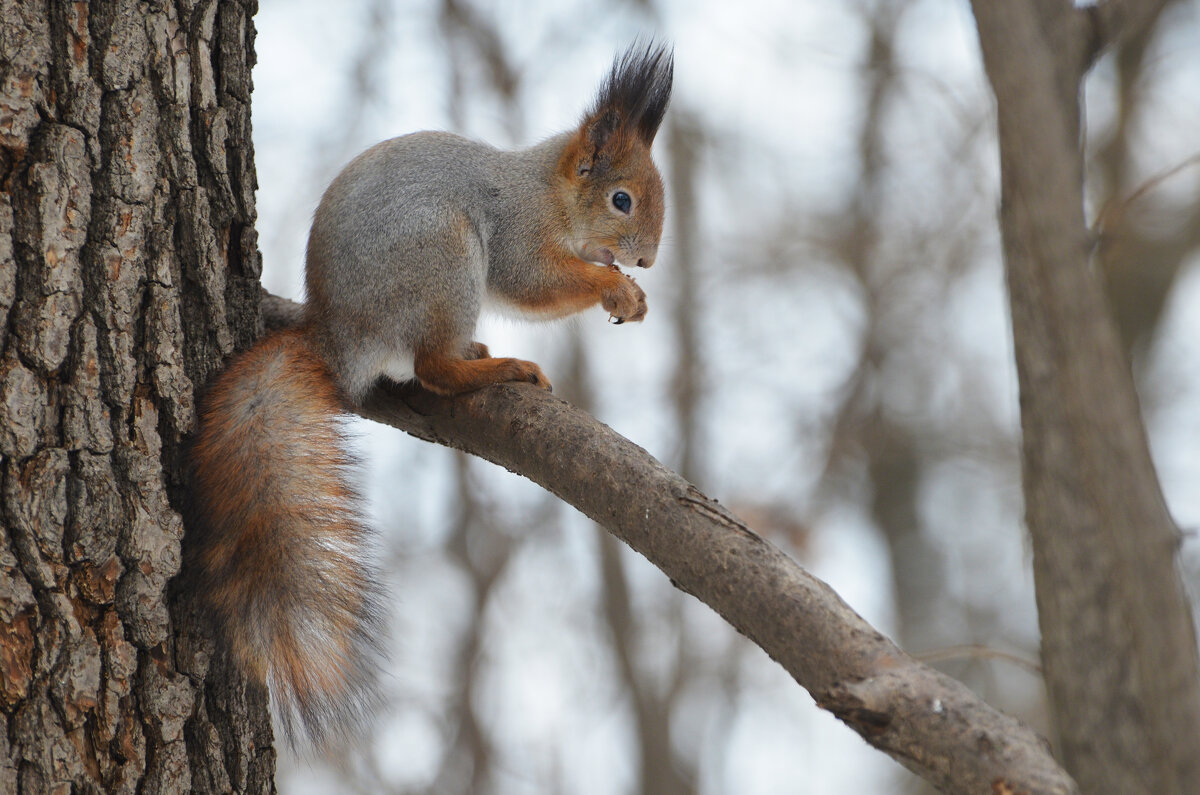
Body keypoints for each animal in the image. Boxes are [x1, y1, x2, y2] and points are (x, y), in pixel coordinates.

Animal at [187, 43, 676, 749]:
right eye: (621, 200)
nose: (648, 263)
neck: (548, 191)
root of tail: (336, 337)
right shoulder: (517, 234)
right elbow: (534, 282)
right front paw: (613, 288)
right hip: (443, 255)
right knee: (433, 368)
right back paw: (500, 368)